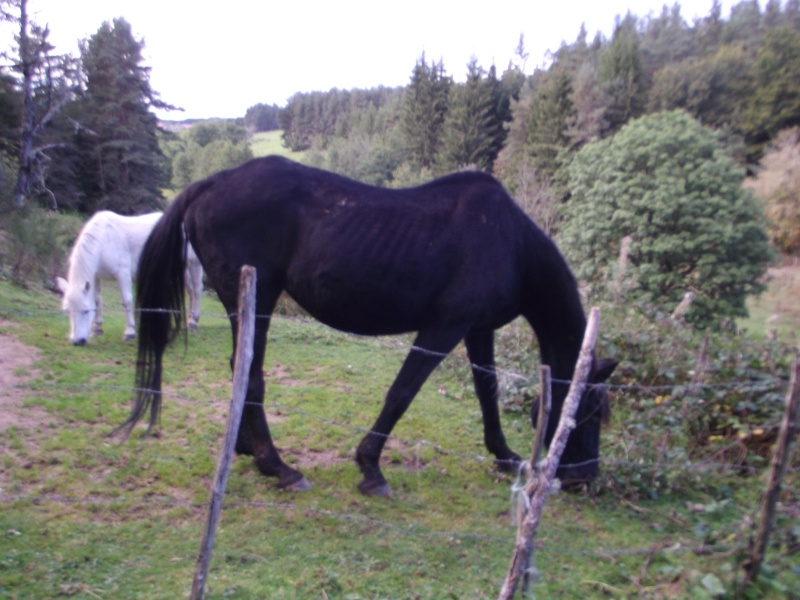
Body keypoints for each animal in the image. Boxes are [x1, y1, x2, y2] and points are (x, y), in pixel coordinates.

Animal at [54, 211, 203, 344]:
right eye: (67, 311)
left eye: (85, 310)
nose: (77, 341)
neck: (104, 240)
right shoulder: (96, 276)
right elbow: (97, 300)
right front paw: (97, 329)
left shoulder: (123, 274)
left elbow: (126, 300)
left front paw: (130, 332)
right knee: (190, 291)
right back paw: (189, 319)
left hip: (194, 264)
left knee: (197, 290)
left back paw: (193, 321)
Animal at [125, 156, 616, 496]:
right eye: (589, 410)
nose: (585, 477)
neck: (509, 241)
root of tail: (211, 183)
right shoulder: (445, 327)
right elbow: (402, 393)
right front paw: (370, 468)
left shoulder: (478, 329)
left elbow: (487, 391)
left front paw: (505, 455)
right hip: (256, 300)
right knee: (253, 374)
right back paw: (278, 467)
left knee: (242, 369)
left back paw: (247, 448)